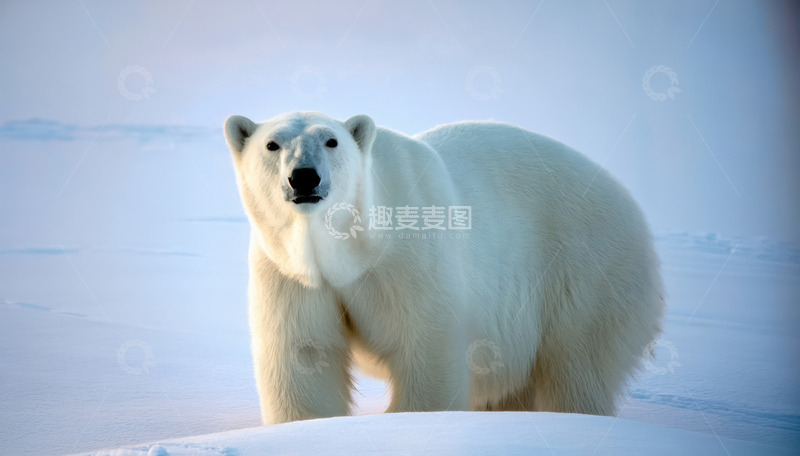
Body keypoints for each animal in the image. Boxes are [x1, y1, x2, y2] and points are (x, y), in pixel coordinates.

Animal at [223, 111, 663, 424]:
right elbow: (305, 352)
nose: (304, 177)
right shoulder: (289, 270)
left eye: (331, 140)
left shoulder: (409, 253)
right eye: (272, 144)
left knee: (575, 367)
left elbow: (425, 346)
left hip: (586, 270)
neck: (353, 244)